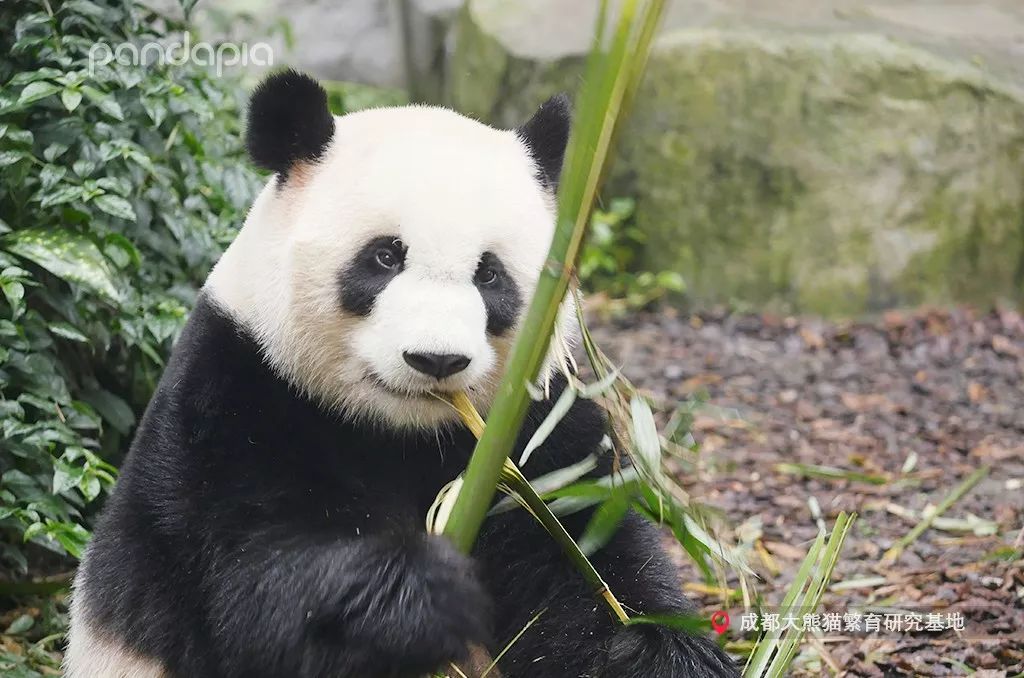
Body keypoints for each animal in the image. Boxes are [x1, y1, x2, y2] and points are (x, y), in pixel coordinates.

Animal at [66, 70, 737, 678]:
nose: (436, 359)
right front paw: (428, 593)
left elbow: (583, 556)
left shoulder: (539, 419)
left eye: (489, 274)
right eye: (385, 256)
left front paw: (660, 652)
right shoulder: (235, 401)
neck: (401, 431)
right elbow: (257, 581)